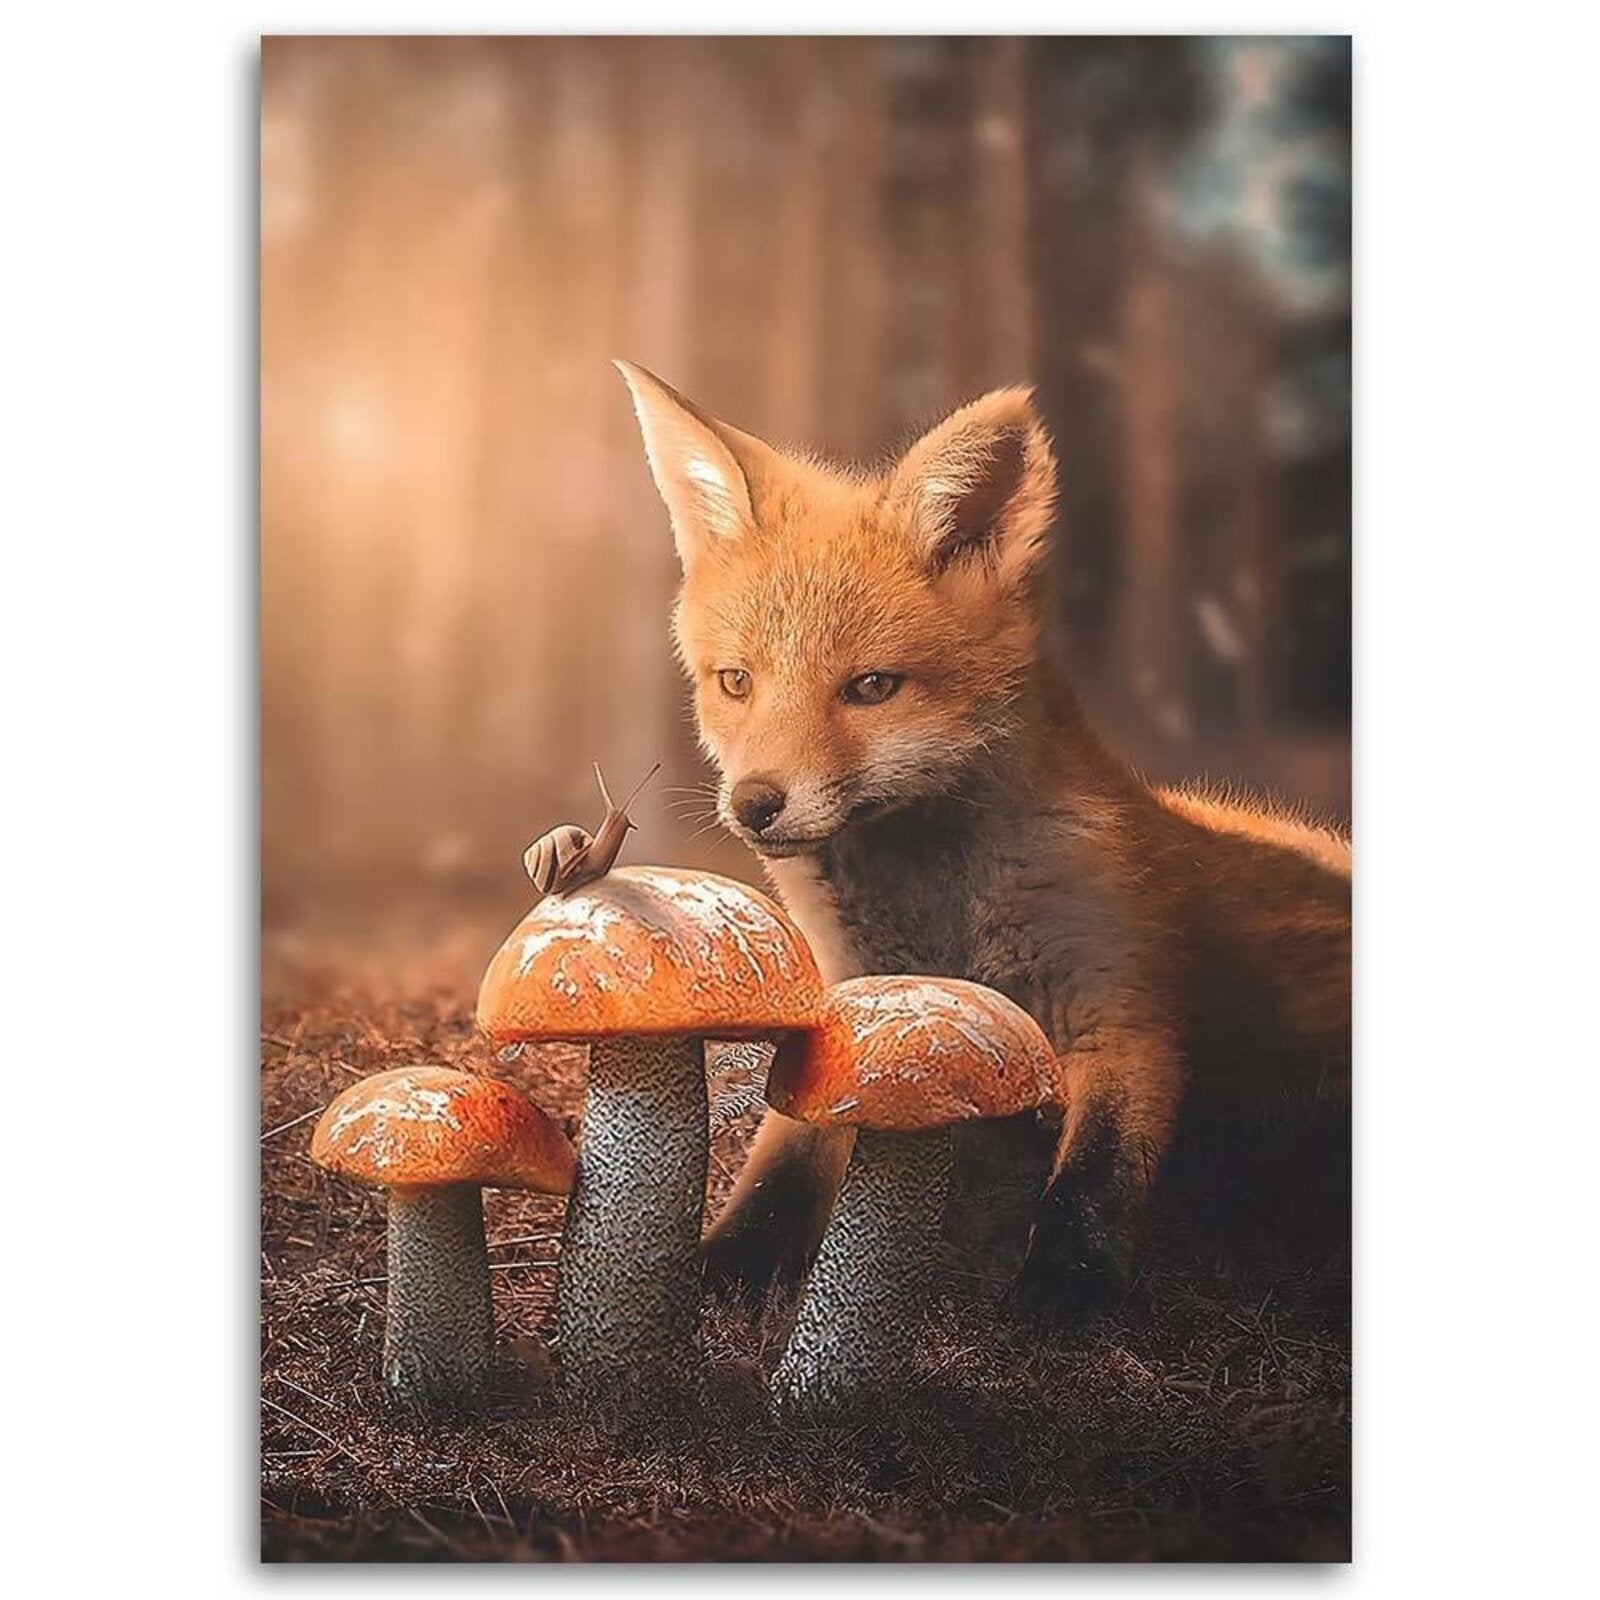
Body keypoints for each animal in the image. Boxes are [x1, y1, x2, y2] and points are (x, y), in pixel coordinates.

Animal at [611, 359, 1351, 1314]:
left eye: (871, 687)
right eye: (736, 682)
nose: (755, 804)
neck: (945, 920)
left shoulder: (1125, 1018)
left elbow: (1092, 1182)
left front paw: (1062, 1293)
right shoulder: (846, 1015)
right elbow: (778, 1170)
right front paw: (725, 1263)